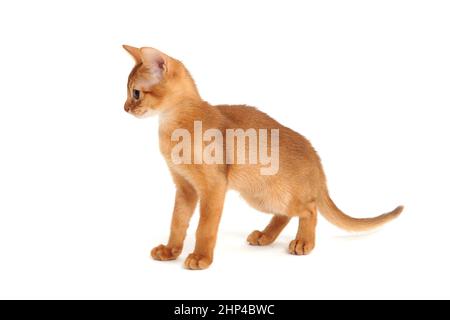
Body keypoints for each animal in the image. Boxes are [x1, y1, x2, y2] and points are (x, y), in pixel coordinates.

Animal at [121, 45, 402, 270]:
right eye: (128, 93)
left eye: (136, 93)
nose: (124, 108)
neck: (174, 126)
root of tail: (316, 159)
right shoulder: (185, 187)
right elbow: (177, 222)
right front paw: (171, 251)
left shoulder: (213, 187)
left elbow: (205, 228)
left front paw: (201, 258)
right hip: (258, 196)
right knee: (286, 214)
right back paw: (265, 236)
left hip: (270, 194)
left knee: (309, 208)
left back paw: (303, 242)